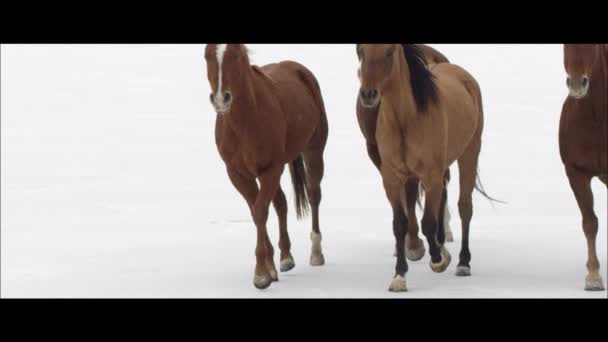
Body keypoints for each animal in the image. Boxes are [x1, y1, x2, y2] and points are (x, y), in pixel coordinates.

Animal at [204, 44, 328, 290]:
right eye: (206, 56)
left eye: (236, 56)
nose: (221, 99)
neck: (244, 123)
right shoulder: (238, 174)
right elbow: (256, 210)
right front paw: (270, 267)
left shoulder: (270, 169)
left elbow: (260, 211)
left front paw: (261, 274)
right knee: (281, 204)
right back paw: (286, 257)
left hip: (313, 151)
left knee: (313, 195)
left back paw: (316, 253)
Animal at [356, 44, 452, 262]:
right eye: (360, 51)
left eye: (390, 52)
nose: (369, 94)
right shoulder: (379, 156)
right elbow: (401, 196)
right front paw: (409, 242)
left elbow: (409, 193)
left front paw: (415, 244)